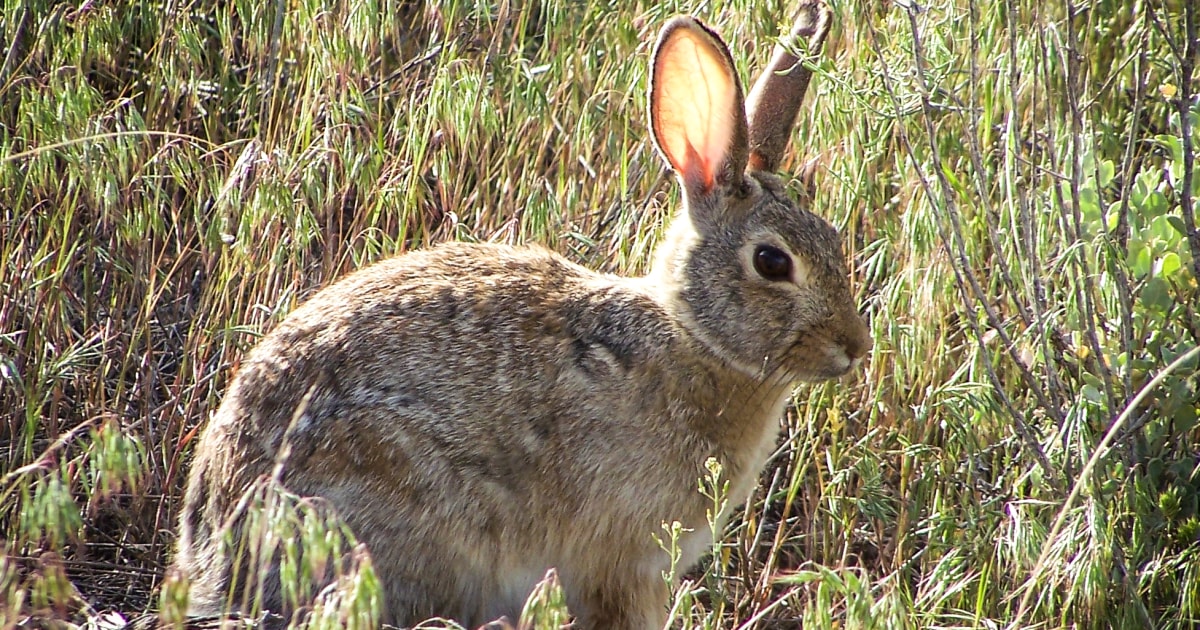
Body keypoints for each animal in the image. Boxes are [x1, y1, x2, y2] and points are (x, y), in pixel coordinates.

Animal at [174, 2, 868, 624]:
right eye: (772, 263)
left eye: (835, 239)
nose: (855, 346)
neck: (691, 336)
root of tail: (214, 550)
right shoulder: (620, 566)